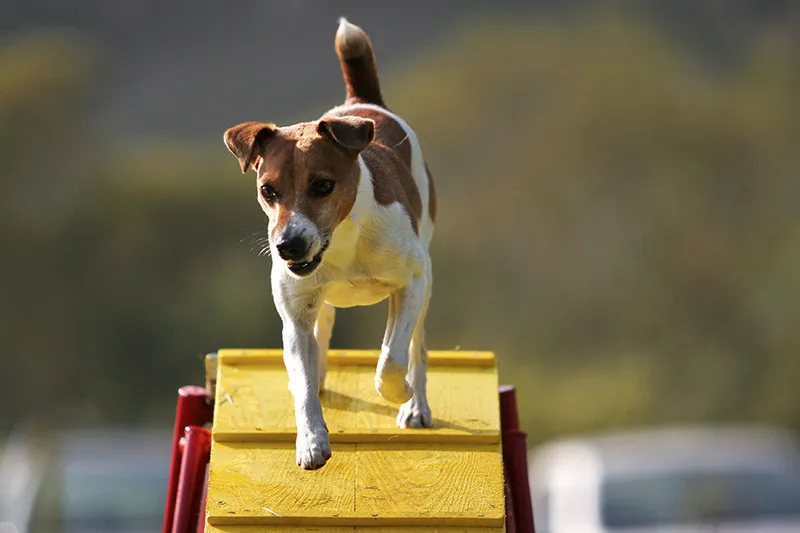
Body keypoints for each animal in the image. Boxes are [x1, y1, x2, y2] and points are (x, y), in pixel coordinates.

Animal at [222, 17, 434, 470]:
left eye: (322, 186)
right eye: (268, 191)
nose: (287, 246)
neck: (342, 245)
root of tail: (361, 103)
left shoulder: (410, 283)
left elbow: (391, 359)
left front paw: (400, 392)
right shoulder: (294, 315)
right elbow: (301, 381)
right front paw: (311, 440)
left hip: (426, 275)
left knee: (417, 346)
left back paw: (417, 406)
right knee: (324, 325)